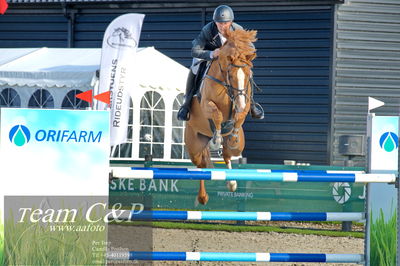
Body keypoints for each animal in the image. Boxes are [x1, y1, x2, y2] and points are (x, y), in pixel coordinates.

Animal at [184, 28, 256, 206]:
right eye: (231, 74)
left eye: (248, 74)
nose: (240, 102)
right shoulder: (206, 105)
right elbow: (216, 113)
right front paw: (216, 139)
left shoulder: (244, 104)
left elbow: (239, 116)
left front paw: (233, 135)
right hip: (194, 146)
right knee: (201, 165)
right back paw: (202, 198)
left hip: (236, 149)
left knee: (227, 156)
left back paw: (232, 183)